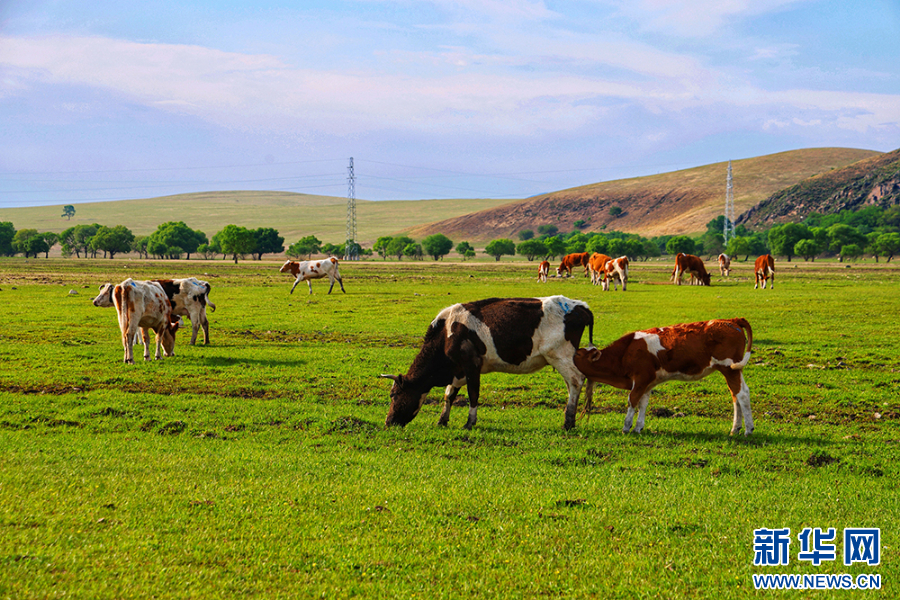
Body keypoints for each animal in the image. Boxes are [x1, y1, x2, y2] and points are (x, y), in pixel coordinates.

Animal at [382, 296, 596, 432]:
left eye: (394, 395)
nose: (388, 422)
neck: (447, 332)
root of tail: (580, 306)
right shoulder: (458, 370)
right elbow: (449, 395)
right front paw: (442, 420)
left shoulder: (472, 365)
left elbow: (473, 394)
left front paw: (469, 423)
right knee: (571, 385)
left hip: (561, 356)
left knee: (576, 381)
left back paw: (568, 422)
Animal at [572, 318, 756, 436]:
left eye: (579, 354)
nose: (572, 353)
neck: (625, 352)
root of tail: (731, 320)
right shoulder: (647, 383)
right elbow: (643, 404)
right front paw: (638, 427)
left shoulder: (640, 379)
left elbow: (632, 400)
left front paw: (626, 426)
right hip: (732, 370)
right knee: (736, 395)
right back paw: (736, 428)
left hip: (729, 368)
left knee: (742, 394)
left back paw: (748, 429)